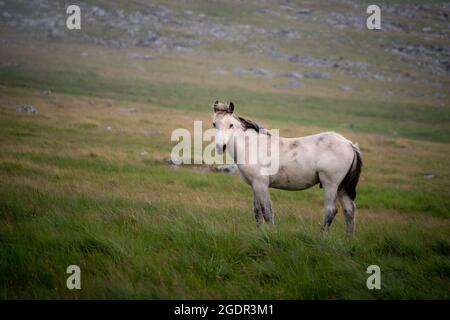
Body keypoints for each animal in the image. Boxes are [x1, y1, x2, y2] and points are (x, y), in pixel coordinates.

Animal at [213, 101, 364, 236]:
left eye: (231, 125)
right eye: (214, 124)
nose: (221, 147)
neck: (252, 146)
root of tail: (350, 144)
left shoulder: (261, 184)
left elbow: (267, 211)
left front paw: (270, 234)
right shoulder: (254, 185)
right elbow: (258, 212)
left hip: (331, 185)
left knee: (331, 210)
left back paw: (321, 237)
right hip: (341, 187)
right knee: (349, 210)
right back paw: (348, 240)